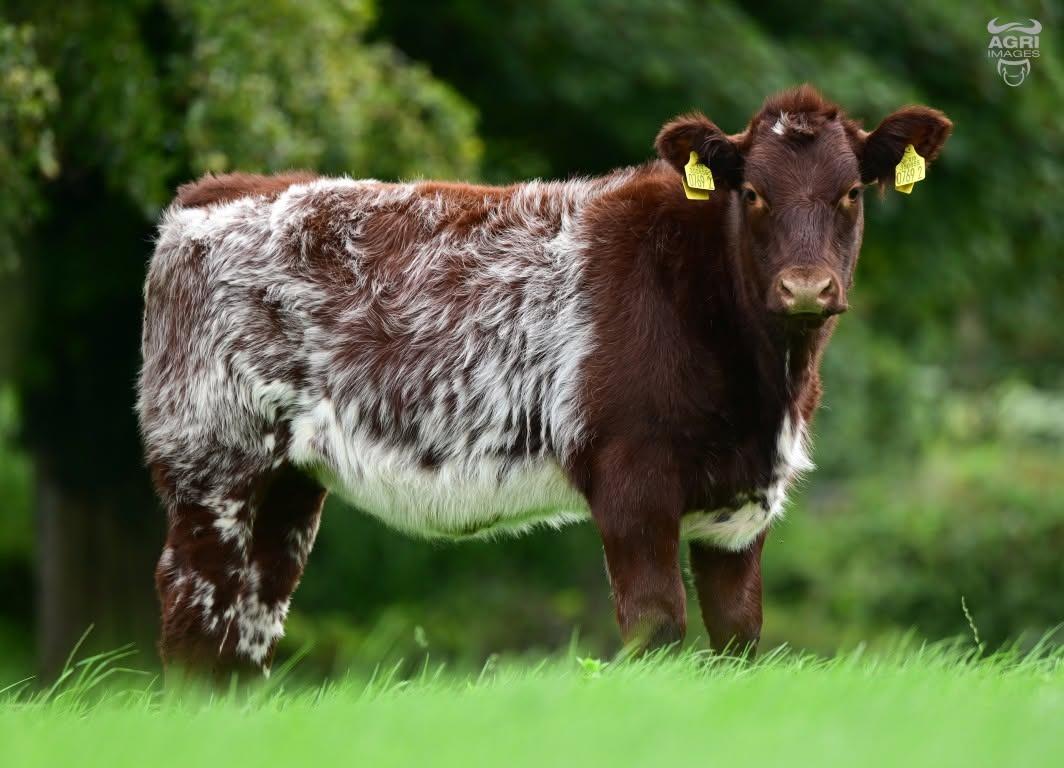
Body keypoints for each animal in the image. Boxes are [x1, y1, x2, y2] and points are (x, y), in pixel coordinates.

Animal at [138, 85, 951, 679]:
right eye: (752, 193)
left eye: (852, 192)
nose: (806, 287)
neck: (764, 389)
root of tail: (213, 192)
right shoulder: (631, 479)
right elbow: (656, 626)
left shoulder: (742, 504)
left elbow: (738, 634)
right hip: (210, 458)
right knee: (192, 609)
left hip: (289, 480)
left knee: (252, 619)